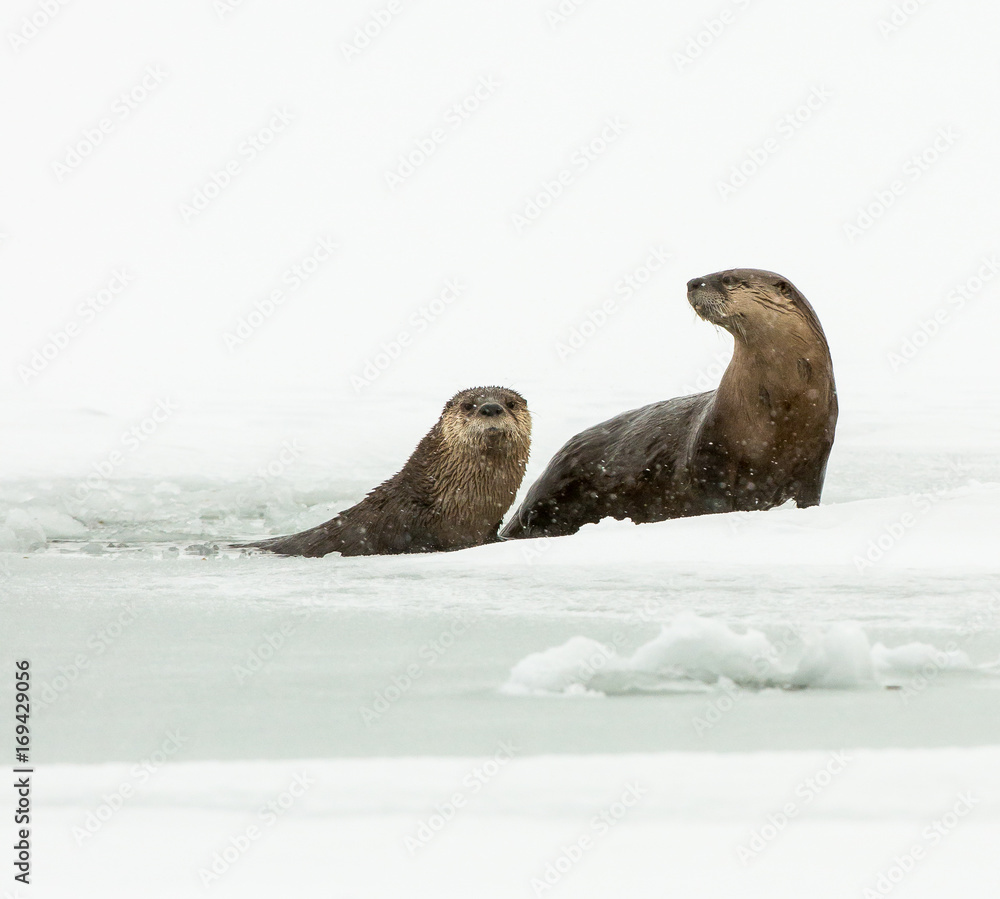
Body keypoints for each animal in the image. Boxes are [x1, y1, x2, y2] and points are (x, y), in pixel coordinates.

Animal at [500, 269, 837, 540]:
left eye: (728, 278)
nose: (693, 281)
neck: (781, 410)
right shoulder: (712, 454)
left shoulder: (816, 461)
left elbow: (808, 497)